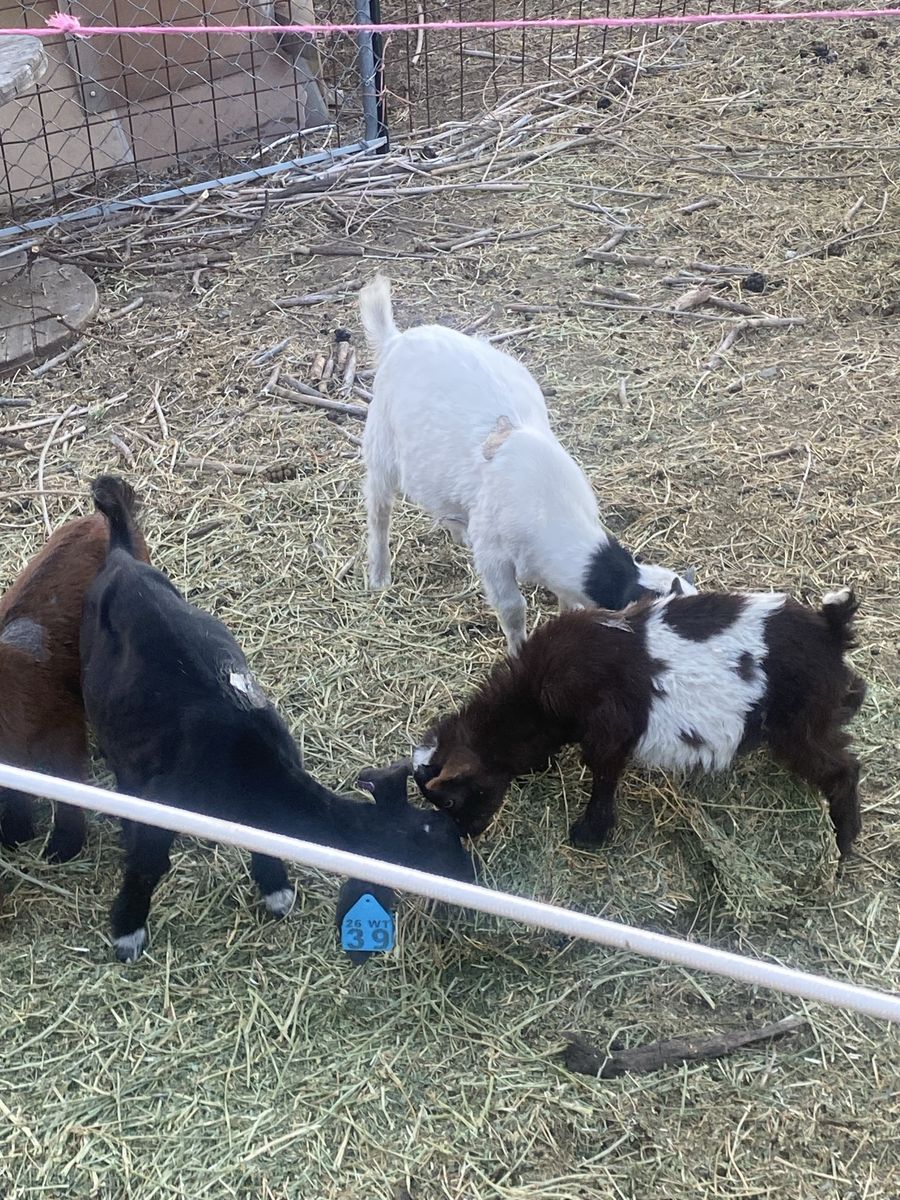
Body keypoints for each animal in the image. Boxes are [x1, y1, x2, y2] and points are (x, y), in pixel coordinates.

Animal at [80, 477, 474, 962]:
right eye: (435, 851)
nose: (472, 881)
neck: (247, 766)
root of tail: (121, 558)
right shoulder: (168, 799)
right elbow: (149, 861)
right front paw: (128, 932)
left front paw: (275, 890)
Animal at [359, 275, 696, 653]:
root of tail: (396, 340)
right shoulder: (494, 557)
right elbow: (512, 609)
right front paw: (519, 650)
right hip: (381, 446)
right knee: (379, 510)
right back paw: (379, 576)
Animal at [412, 587, 867, 857]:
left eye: (449, 800)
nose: (464, 835)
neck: (537, 694)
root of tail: (831, 628)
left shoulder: (609, 731)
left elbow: (603, 777)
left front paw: (590, 834)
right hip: (815, 710)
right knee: (850, 698)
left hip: (798, 726)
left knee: (843, 768)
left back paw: (844, 844)